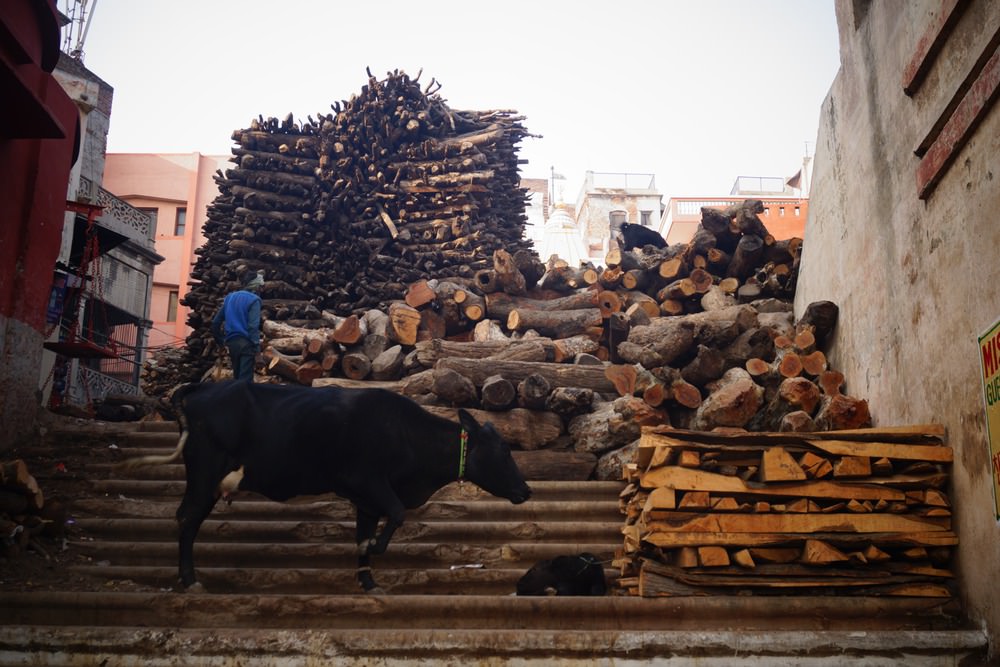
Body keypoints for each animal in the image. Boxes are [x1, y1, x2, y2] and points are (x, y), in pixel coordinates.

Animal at [120, 381, 532, 593]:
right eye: (504, 451)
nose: (526, 490)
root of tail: (200, 388)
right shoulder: (366, 481)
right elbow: (396, 514)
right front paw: (374, 549)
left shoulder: (367, 500)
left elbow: (366, 532)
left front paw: (369, 582)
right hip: (204, 474)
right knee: (187, 519)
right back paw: (190, 580)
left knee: (186, 518)